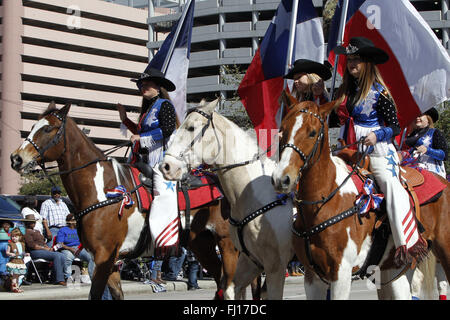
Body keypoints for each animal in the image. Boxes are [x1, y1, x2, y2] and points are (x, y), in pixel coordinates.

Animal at [9, 102, 239, 300]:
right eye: (33, 126)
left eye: (48, 129)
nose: (16, 158)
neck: (102, 191)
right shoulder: (108, 261)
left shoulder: (104, 256)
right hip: (201, 244)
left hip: (227, 245)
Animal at [270, 93, 450, 300]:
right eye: (282, 130)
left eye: (312, 133)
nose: (281, 178)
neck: (324, 203)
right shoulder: (312, 275)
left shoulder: (341, 273)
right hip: (399, 267)